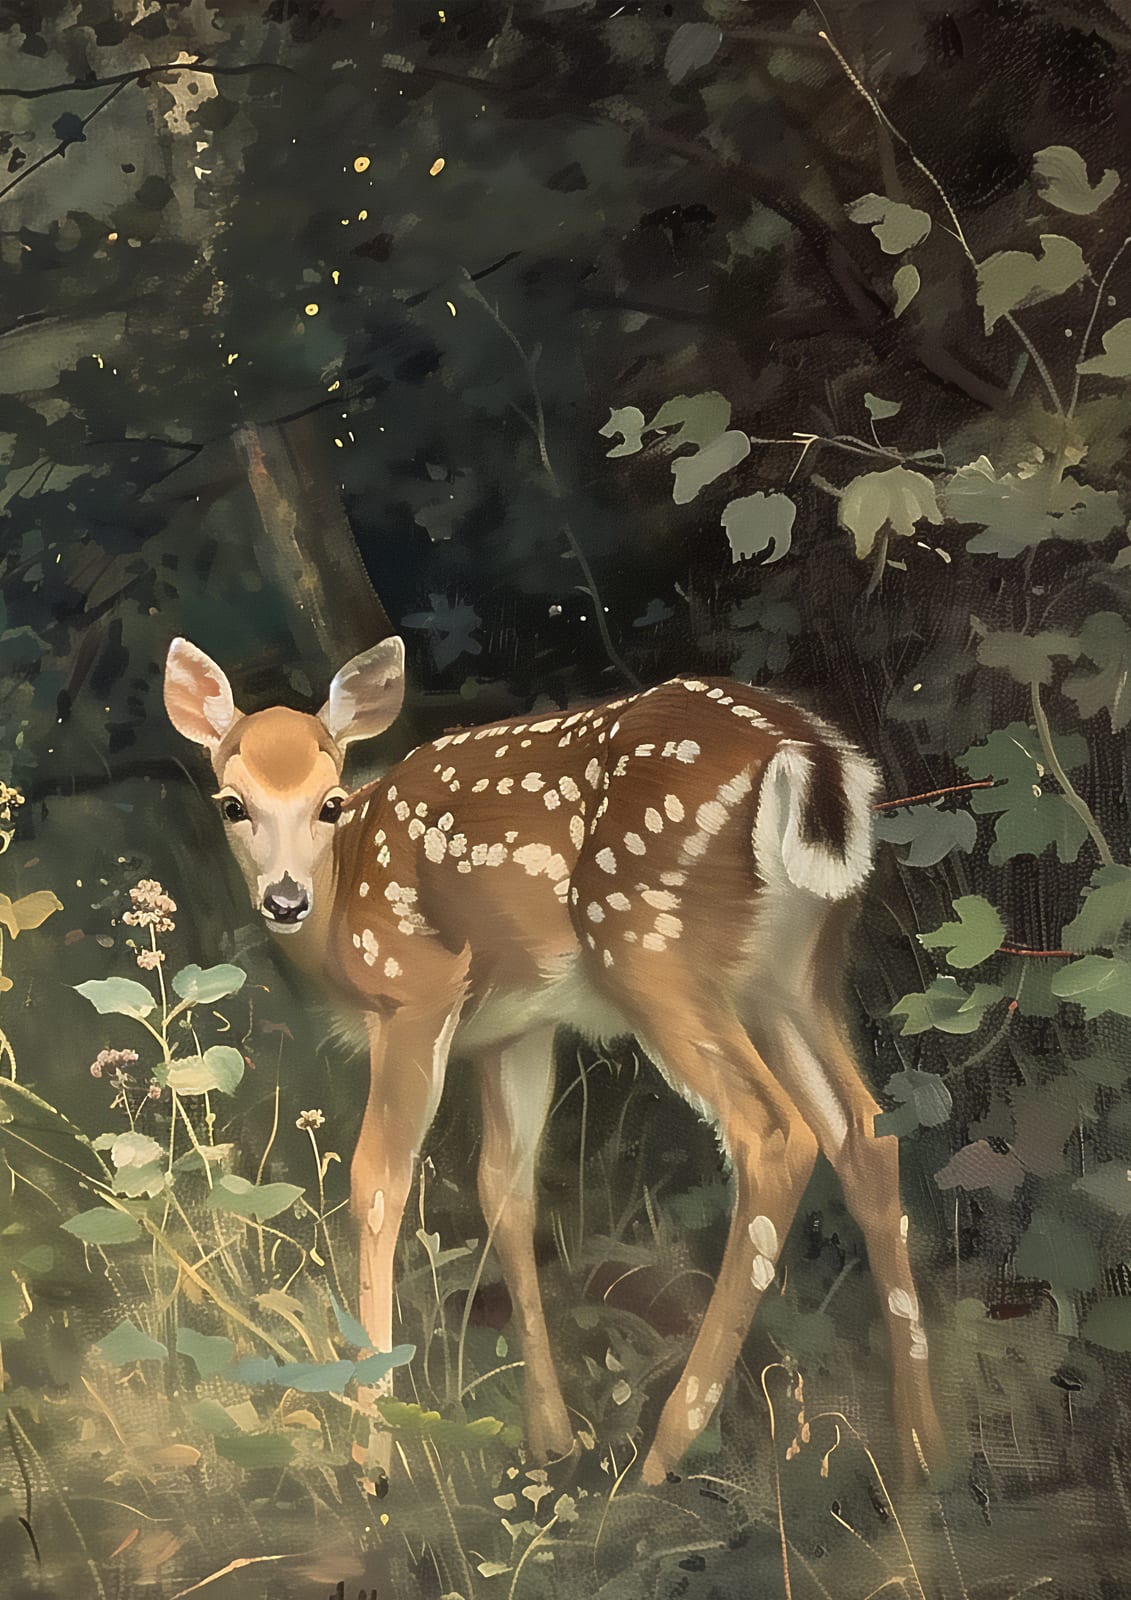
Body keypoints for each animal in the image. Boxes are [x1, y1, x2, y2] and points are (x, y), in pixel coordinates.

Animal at [163, 633, 945, 1486]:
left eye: (329, 803)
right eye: (232, 804)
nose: (283, 899)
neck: (343, 909)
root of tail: (809, 755)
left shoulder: (418, 995)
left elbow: (375, 1179)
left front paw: (375, 1453)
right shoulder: (515, 1030)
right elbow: (504, 1191)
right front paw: (550, 1439)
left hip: (650, 943)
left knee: (771, 1131)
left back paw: (663, 1450)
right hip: (794, 971)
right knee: (865, 1131)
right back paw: (917, 1454)